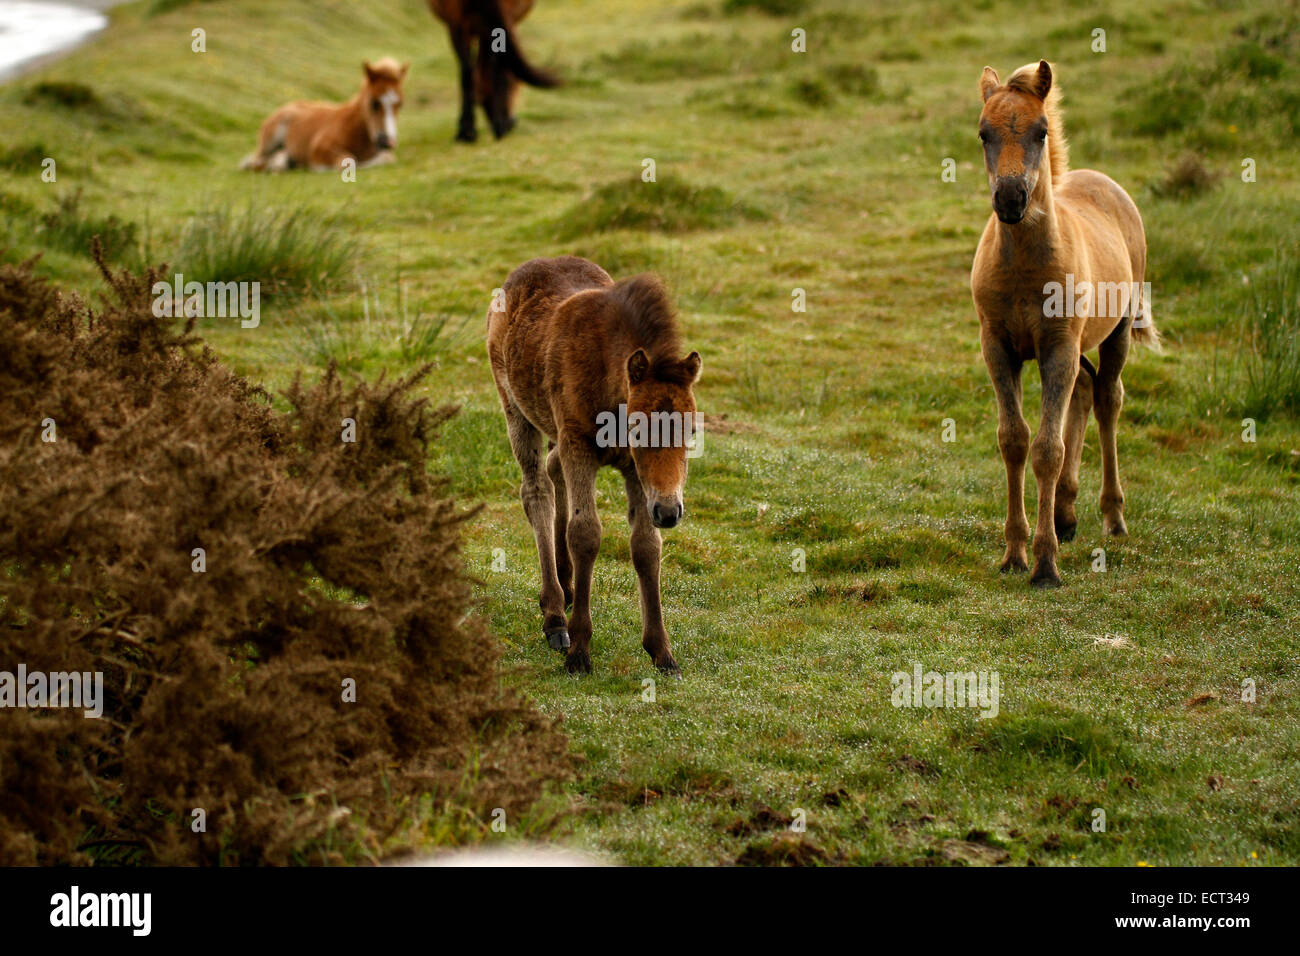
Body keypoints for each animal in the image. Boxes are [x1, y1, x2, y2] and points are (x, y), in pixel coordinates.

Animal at [240, 59, 409, 172]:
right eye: (374, 102)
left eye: (400, 104)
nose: (388, 142)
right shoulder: (320, 147)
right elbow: (348, 160)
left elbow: (387, 158)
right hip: (269, 142)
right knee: (254, 163)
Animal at [427, 0, 559, 142]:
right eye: (516, 85)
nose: (514, 121)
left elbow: (471, 72)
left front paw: (466, 130)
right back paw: (499, 125)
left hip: (458, 22)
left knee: (468, 70)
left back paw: (471, 130)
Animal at [488, 257, 702, 675]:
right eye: (638, 429)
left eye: (691, 430)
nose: (670, 511)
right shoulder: (579, 446)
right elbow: (585, 534)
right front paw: (579, 651)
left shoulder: (634, 471)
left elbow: (646, 545)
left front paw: (662, 652)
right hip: (516, 410)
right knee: (536, 491)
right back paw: (555, 616)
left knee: (552, 471)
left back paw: (566, 586)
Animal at [971, 61, 1159, 588]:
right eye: (983, 133)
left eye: (1041, 131)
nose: (1010, 198)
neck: (1024, 268)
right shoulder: (998, 347)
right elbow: (1014, 441)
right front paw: (1015, 553)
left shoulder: (1056, 348)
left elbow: (1047, 449)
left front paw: (1045, 565)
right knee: (1085, 390)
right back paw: (1065, 514)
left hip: (1115, 331)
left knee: (1108, 399)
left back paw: (1112, 517)